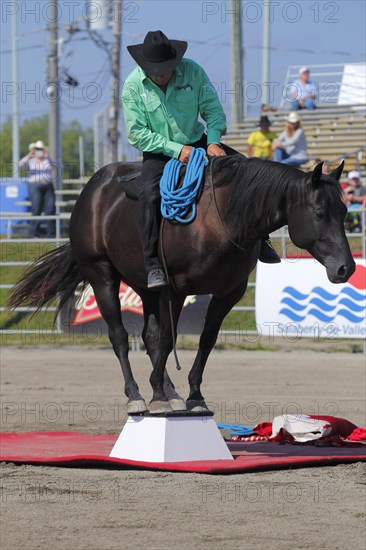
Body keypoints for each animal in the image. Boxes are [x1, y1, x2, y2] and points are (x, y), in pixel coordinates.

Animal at [8, 155, 354, 414]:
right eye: (320, 212)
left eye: (345, 210)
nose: (346, 268)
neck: (221, 218)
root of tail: (92, 189)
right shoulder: (176, 289)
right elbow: (165, 340)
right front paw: (156, 394)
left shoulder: (229, 292)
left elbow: (204, 340)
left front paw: (192, 396)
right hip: (101, 275)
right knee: (120, 336)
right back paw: (136, 395)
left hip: (146, 286)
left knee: (148, 335)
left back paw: (167, 391)